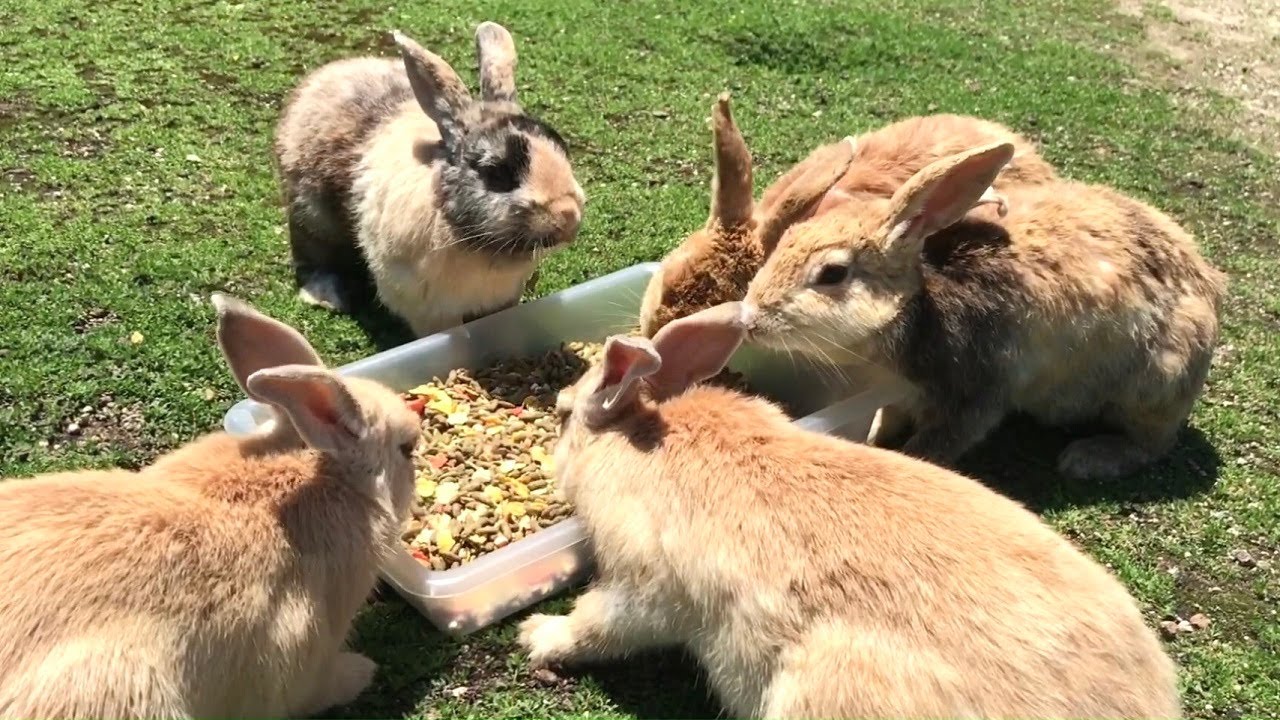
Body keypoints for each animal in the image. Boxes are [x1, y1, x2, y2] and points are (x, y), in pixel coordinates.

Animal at [274, 22, 585, 337]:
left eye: (563, 148)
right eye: (497, 173)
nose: (568, 216)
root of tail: (325, 74)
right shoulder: (426, 308)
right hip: (310, 215)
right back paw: (324, 296)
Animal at [517, 301, 1180, 719]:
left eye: (561, 414)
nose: (552, 453)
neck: (642, 439)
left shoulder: (644, 586)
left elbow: (599, 624)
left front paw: (538, 636)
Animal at [742, 141, 1227, 480]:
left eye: (832, 273)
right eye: (789, 239)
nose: (749, 319)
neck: (918, 305)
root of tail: (1210, 292)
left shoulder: (976, 393)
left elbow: (938, 443)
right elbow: (889, 417)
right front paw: (876, 435)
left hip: (1157, 384)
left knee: (1152, 443)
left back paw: (1088, 458)